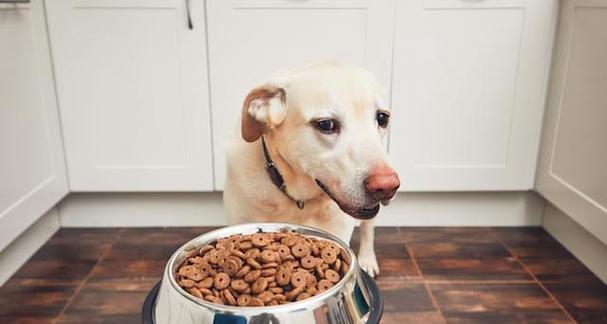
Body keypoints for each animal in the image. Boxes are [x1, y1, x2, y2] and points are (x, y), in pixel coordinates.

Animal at [223, 61, 400, 276]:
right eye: (326, 124)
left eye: (382, 118)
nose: (387, 186)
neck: (298, 200)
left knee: (368, 228)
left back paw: (367, 259)